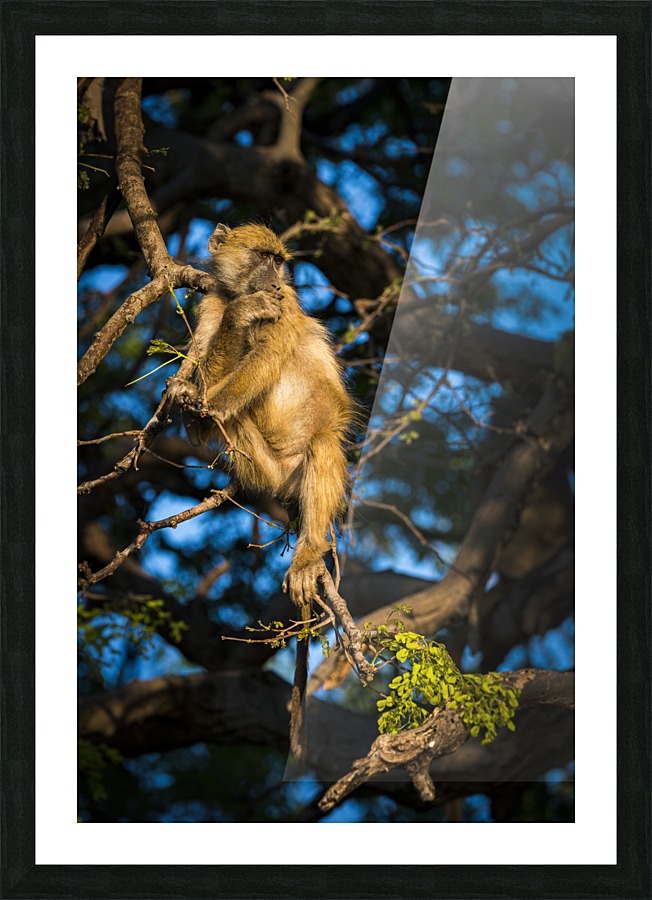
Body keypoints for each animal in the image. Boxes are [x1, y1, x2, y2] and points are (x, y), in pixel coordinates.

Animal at [168, 223, 355, 763]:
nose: (274, 282)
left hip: (302, 469)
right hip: (265, 468)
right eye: (262, 257)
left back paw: (310, 551)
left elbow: (267, 360)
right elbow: (207, 359)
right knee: (226, 419)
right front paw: (187, 399)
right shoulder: (216, 304)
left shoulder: (284, 308)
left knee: (321, 442)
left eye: (280, 262)